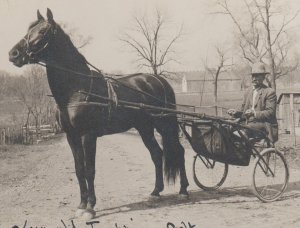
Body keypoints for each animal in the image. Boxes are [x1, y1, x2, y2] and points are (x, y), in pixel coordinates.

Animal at [9, 8, 189, 219]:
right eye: (28, 30)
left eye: (43, 31)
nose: (13, 54)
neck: (75, 90)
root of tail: (158, 80)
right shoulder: (72, 136)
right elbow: (79, 170)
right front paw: (80, 205)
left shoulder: (88, 136)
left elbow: (89, 169)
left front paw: (90, 208)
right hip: (145, 127)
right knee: (156, 153)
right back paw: (155, 192)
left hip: (166, 124)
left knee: (179, 151)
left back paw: (183, 190)